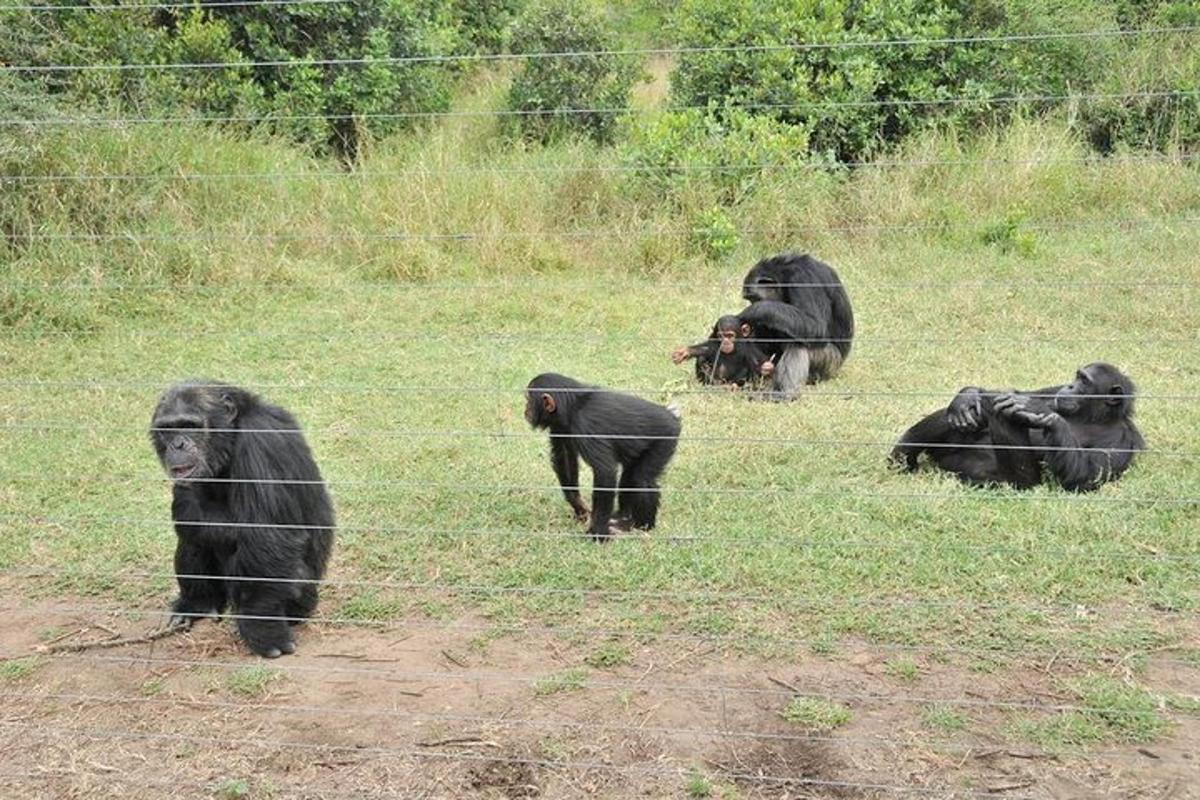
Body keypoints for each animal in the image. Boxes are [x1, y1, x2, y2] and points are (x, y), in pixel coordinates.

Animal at [152, 381, 338, 657]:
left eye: (190, 425)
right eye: (168, 429)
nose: (178, 445)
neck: (232, 434)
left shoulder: (261, 443)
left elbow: (267, 534)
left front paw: (265, 631)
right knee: (193, 540)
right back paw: (197, 604)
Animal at [528, 374, 686, 537]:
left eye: (528, 400)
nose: (526, 410)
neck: (572, 407)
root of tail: (672, 415)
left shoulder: (587, 426)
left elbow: (605, 473)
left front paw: (597, 532)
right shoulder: (559, 427)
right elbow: (565, 456)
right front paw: (580, 507)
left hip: (664, 440)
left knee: (641, 479)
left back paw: (641, 526)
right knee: (629, 475)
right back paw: (622, 516)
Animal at [739, 253, 854, 400]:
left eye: (754, 299)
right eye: (749, 299)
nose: (751, 304)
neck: (784, 277)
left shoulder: (803, 279)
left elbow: (815, 324)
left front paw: (756, 310)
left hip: (829, 363)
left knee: (797, 344)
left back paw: (785, 393)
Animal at [892, 364, 1142, 494]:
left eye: (1085, 381)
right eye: (1077, 377)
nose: (1070, 386)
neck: (1092, 415)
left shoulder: (1121, 441)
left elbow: (1084, 477)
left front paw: (1039, 412)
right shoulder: (1054, 390)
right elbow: (1018, 392)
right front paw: (967, 395)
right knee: (979, 410)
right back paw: (903, 455)